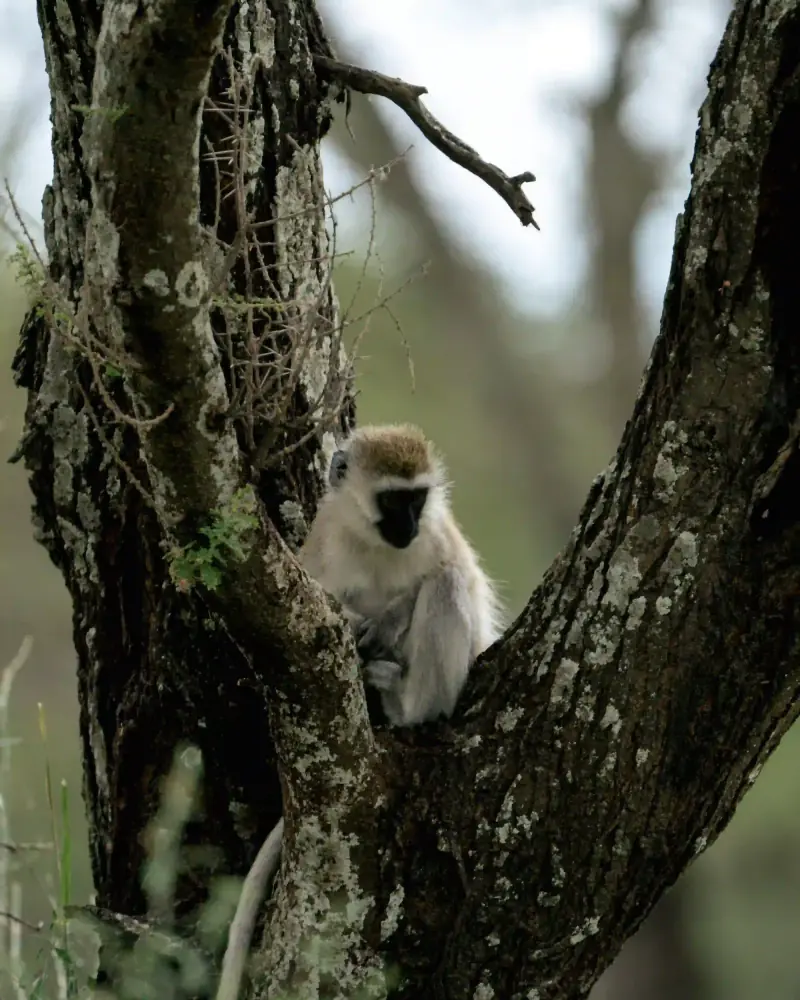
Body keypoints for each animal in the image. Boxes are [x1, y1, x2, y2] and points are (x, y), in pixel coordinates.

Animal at [215, 423, 502, 1000]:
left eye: (417, 500)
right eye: (392, 501)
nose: (408, 525)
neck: (374, 543)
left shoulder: (438, 536)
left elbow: (448, 573)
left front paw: (387, 621)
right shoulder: (324, 543)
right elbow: (321, 606)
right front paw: (356, 624)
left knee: (446, 585)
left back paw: (411, 706)